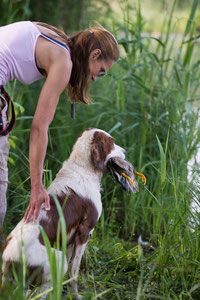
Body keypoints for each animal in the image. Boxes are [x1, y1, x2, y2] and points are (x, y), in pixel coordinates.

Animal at [1, 127, 139, 298]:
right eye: (112, 142)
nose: (125, 151)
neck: (83, 168)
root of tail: (11, 259)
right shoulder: (84, 231)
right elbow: (74, 272)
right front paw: (76, 295)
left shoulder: (67, 238)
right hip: (56, 262)